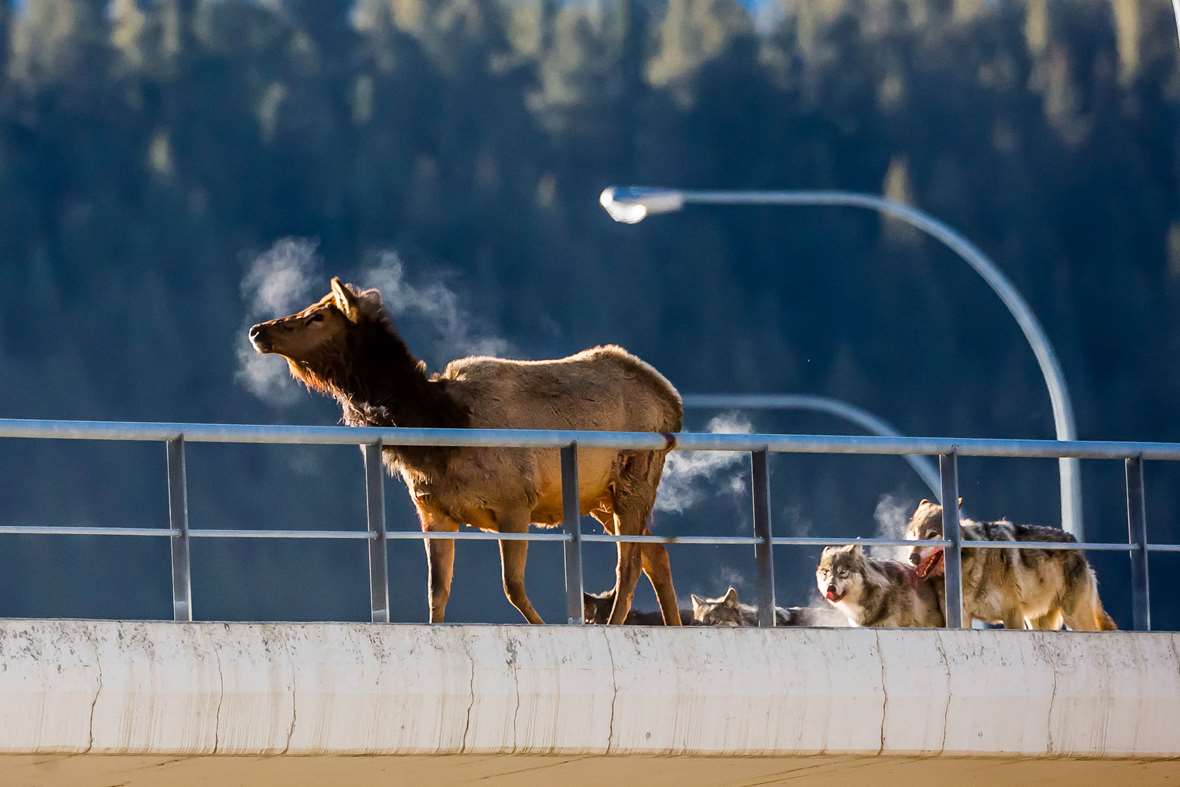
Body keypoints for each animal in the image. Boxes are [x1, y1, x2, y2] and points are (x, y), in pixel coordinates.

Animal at [901, 497, 1113, 632]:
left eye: (932, 534)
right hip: (1037, 621)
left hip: (1074, 618)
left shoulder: (1012, 614)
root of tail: (1075, 545)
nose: (913, 558)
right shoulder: (963, 617)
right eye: (915, 533)